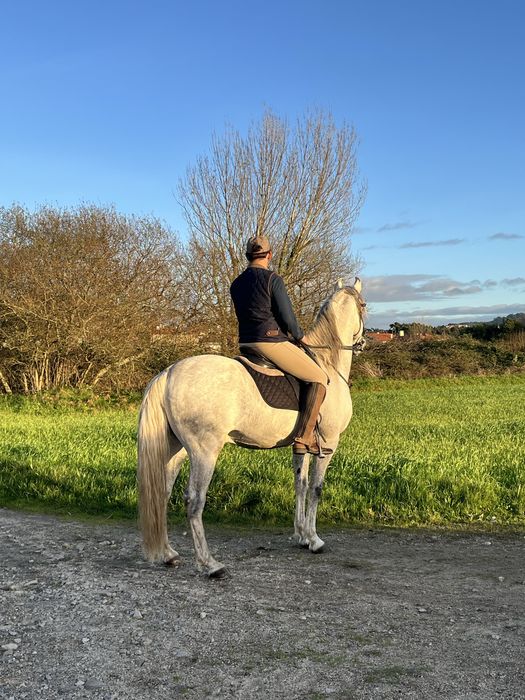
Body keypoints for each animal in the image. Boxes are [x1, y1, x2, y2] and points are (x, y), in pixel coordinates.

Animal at [137, 277, 366, 577]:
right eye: (364, 305)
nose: (362, 342)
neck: (328, 365)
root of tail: (170, 372)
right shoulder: (328, 444)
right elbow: (316, 488)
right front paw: (314, 540)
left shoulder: (302, 446)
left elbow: (301, 485)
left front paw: (301, 536)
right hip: (204, 451)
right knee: (194, 500)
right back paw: (211, 565)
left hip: (177, 449)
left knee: (161, 492)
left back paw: (168, 554)